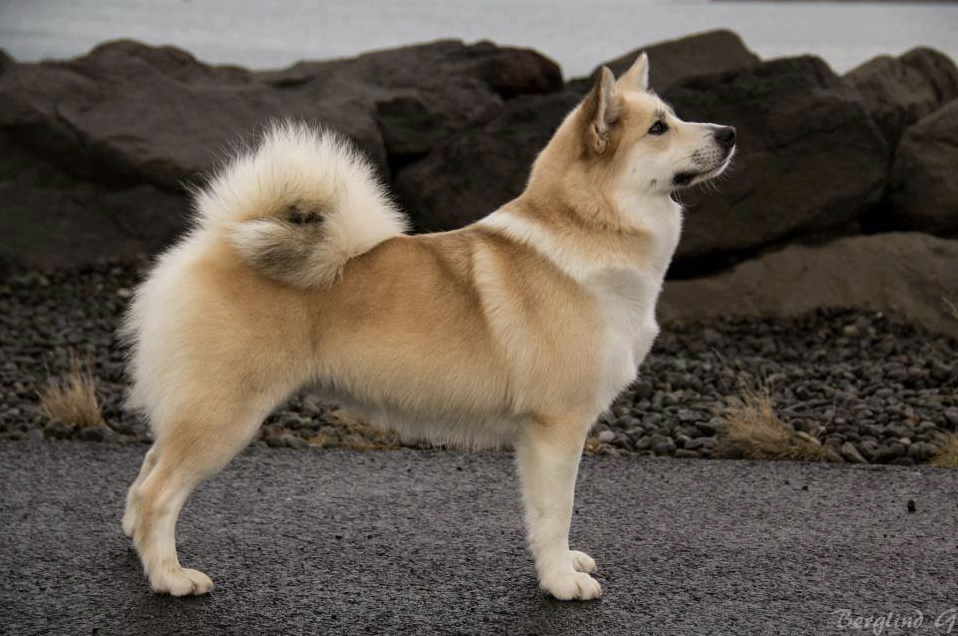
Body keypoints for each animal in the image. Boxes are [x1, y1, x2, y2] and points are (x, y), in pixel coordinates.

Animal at [120, 54, 736, 600]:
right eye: (658, 128)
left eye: (673, 116)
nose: (730, 131)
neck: (587, 234)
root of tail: (218, 243)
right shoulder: (558, 426)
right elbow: (556, 513)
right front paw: (562, 583)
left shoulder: (536, 438)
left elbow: (540, 517)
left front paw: (561, 565)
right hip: (224, 415)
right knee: (158, 493)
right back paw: (172, 578)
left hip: (200, 408)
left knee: (146, 472)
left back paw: (140, 549)